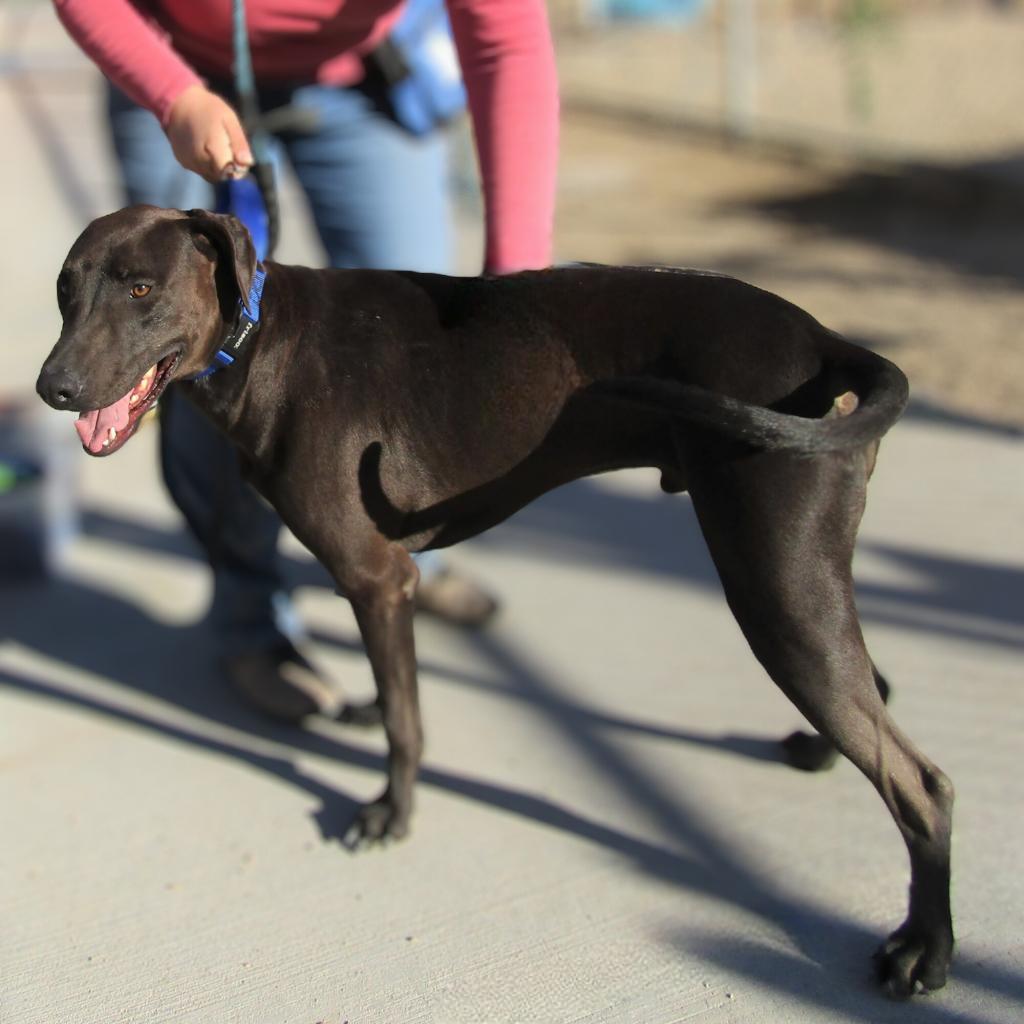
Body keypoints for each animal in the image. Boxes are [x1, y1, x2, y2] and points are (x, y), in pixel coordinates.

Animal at [37, 205, 950, 999]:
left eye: (141, 288)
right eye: (63, 289)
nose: (54, 387)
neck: (262, 341)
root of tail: (825, 339)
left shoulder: (378, 579)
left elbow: (408, 723)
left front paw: (391, 814)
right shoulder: (382, 589)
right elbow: (393, 693)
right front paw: (368, 714)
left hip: (771, 581)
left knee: (920, 780)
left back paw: (924, 950)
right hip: (797, 577)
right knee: (876, 697)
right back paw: (819, 757)